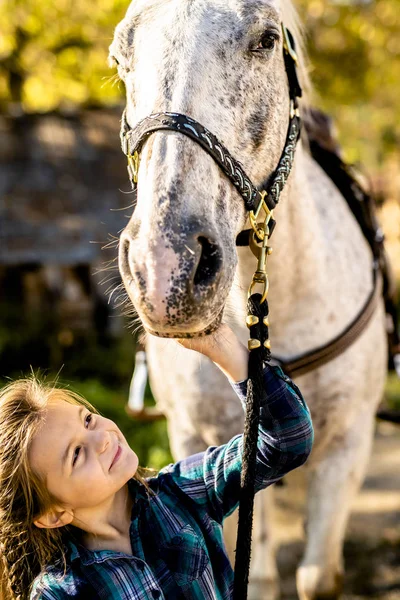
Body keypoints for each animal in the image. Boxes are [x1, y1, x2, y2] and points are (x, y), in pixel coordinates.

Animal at [110, 2, 388, 596]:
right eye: (121, 58)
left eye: (264, 40)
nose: (165, 267)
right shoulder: (204, 442)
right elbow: (255, 577)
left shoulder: (349, 447)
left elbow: (316, 575)